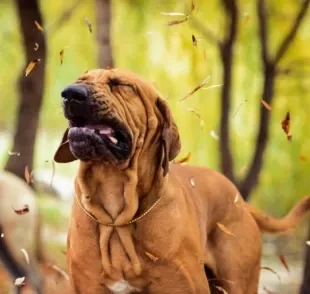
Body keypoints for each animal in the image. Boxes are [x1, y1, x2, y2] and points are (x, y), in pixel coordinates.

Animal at [54, 68, 310, 292]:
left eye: (121, 85)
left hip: (238, 280)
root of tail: (239, 199)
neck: (117, 216)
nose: (70, 92)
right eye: (81, 80)